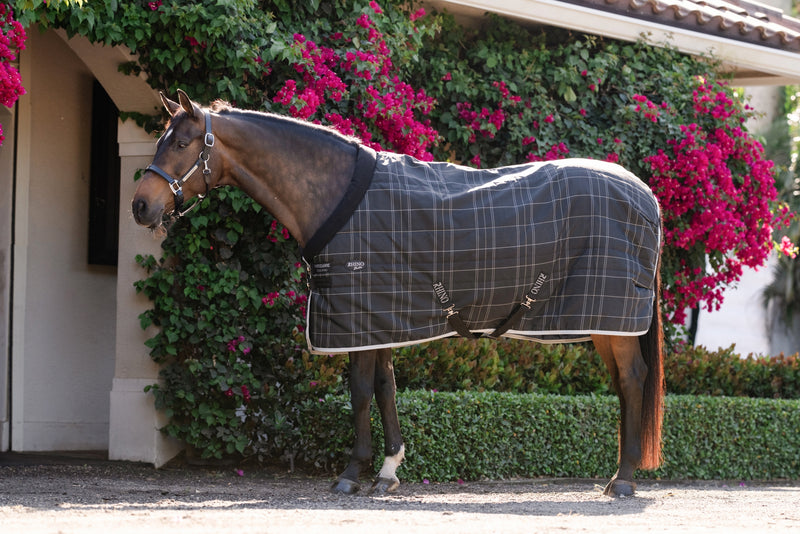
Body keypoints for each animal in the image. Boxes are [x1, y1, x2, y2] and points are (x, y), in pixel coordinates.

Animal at [132, 90, 664, 498]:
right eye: (159, 141)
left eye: (182, 143)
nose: (140, 206)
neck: (336, 193)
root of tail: (645, 195)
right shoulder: (379, 319)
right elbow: (385, 388)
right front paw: (388, 470)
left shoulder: (357, 315)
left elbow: (360, 392)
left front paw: (352, 473)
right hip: (605, 323)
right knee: (624, 385)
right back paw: (618, 474)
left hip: (614, 320)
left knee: (634, 379)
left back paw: (623, 480)